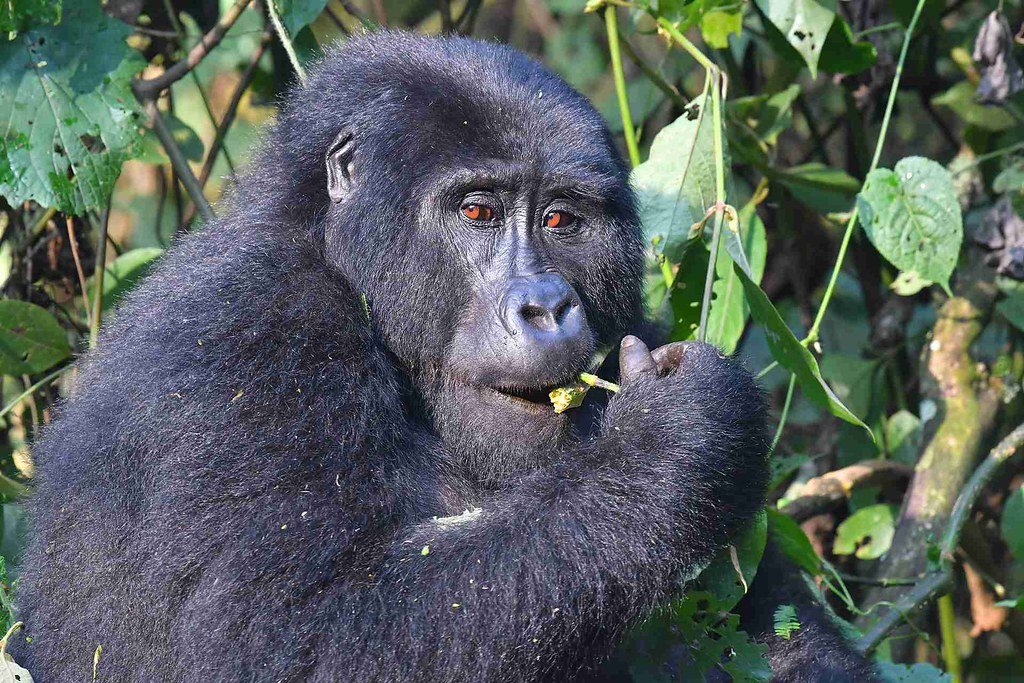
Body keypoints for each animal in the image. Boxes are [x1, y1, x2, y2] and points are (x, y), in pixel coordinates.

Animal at [16, 30, 876, 683]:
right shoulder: (249, 333)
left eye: (562, 219)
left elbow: (777, 635)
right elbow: (280, 643)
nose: (545, 305)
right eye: (478, 212)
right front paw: (676, 442)